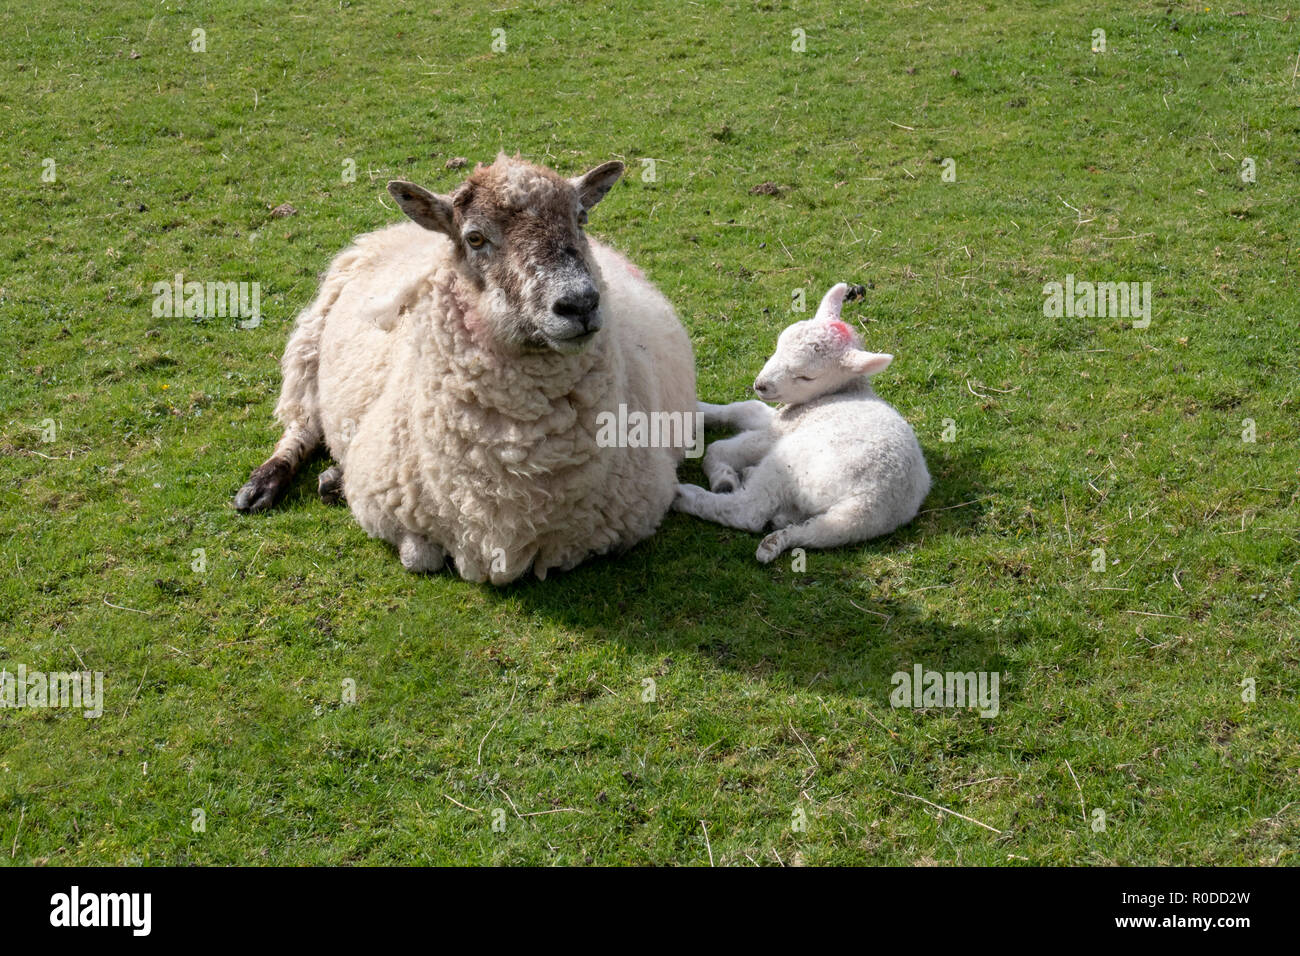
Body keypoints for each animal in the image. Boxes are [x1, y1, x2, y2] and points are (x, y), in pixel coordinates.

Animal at [233, 151, 702, 582]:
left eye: (581, 218)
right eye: (474, 238)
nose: (580, 303)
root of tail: (402, 227)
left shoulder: (619, 524)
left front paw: (335, 480)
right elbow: (419, 557)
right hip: (309, 346)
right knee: (301, 426)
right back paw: (262, 486)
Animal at [670, 280, 935, 564]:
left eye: (807, 377)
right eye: (779, 344)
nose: (761, 384)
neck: (835, 394)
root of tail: (867, 504)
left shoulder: (783, 428)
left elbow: (719, 448)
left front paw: (723, 477)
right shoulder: (779, 415)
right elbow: (743, 408)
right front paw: (699, 409)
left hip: (793, 464)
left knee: (750, 511)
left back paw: (686, 495)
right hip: (835, 520)